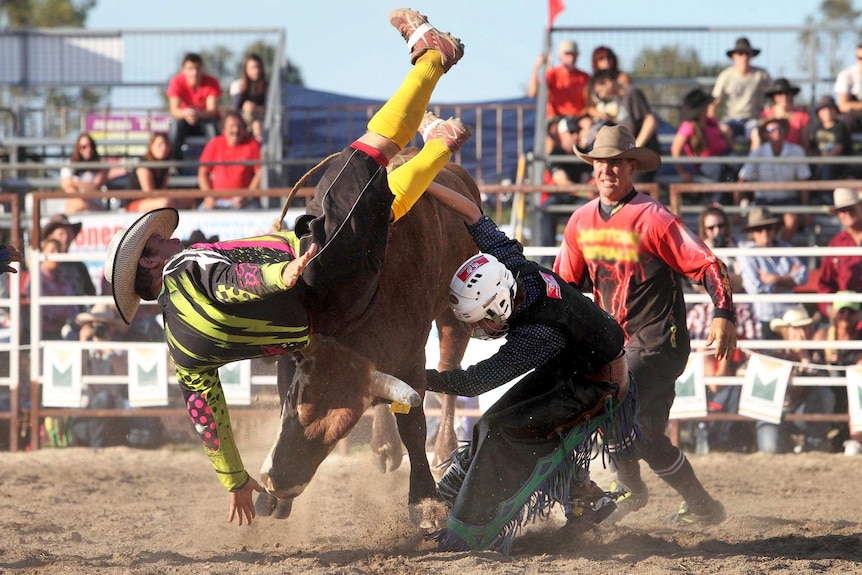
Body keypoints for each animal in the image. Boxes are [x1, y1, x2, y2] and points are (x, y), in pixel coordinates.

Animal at [256, 158, 482, 528]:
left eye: (339, 434)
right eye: (292, 403)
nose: (280, 484)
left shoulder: (411, 356)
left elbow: (414, 425)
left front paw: (425, 500)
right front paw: (269, 500)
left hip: (454, 316)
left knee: (449, 370)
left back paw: (443, 449)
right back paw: (384, 446)